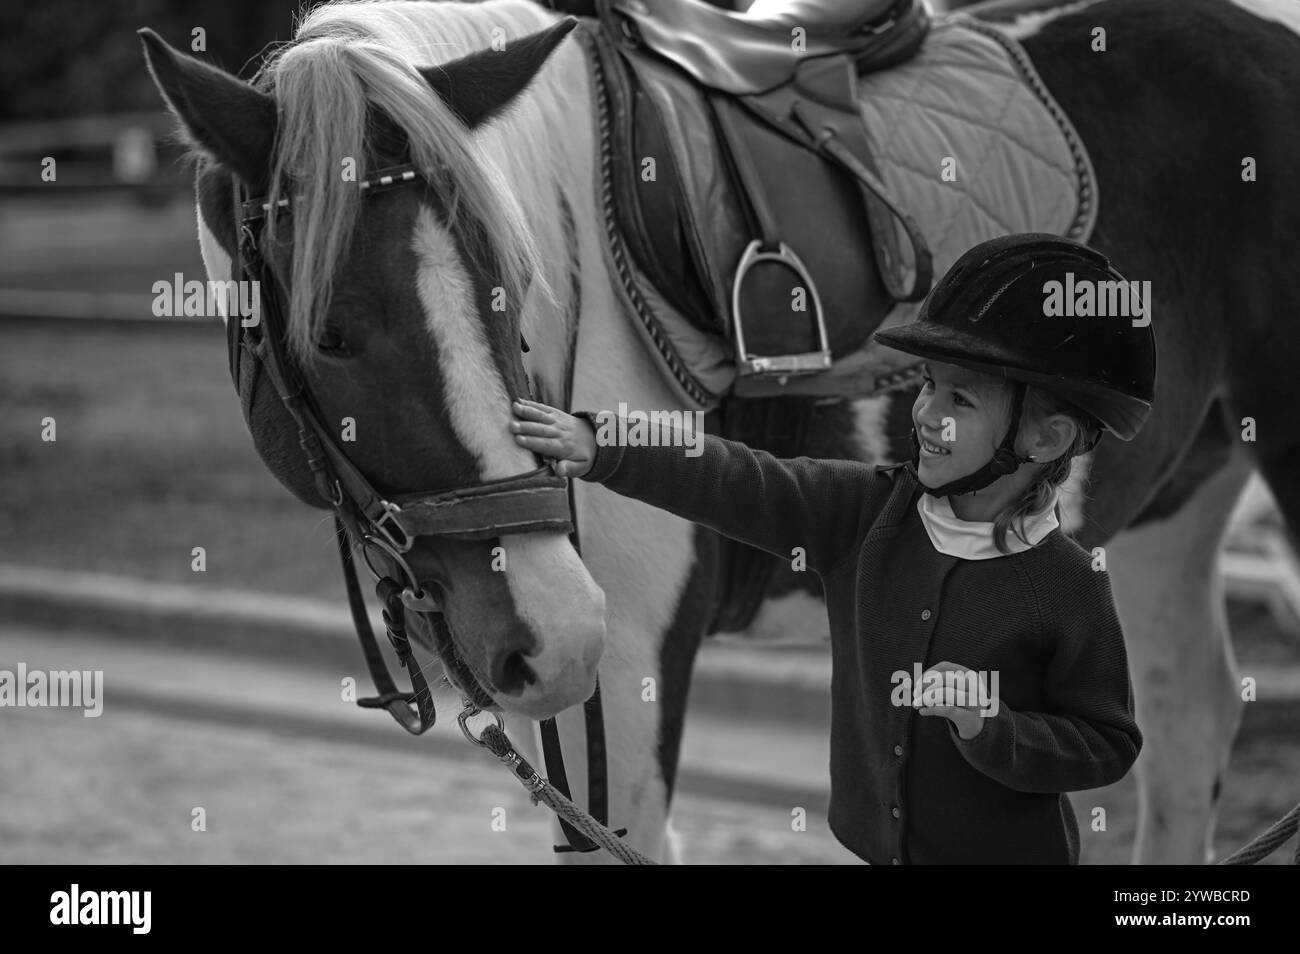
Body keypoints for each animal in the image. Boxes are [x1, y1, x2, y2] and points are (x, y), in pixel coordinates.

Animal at [142, 0, 1300, 868]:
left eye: (513, 290)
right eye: (331, 336)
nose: (552, 626)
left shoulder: (628, 656)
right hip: (1163, 512)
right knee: (1186, 717)